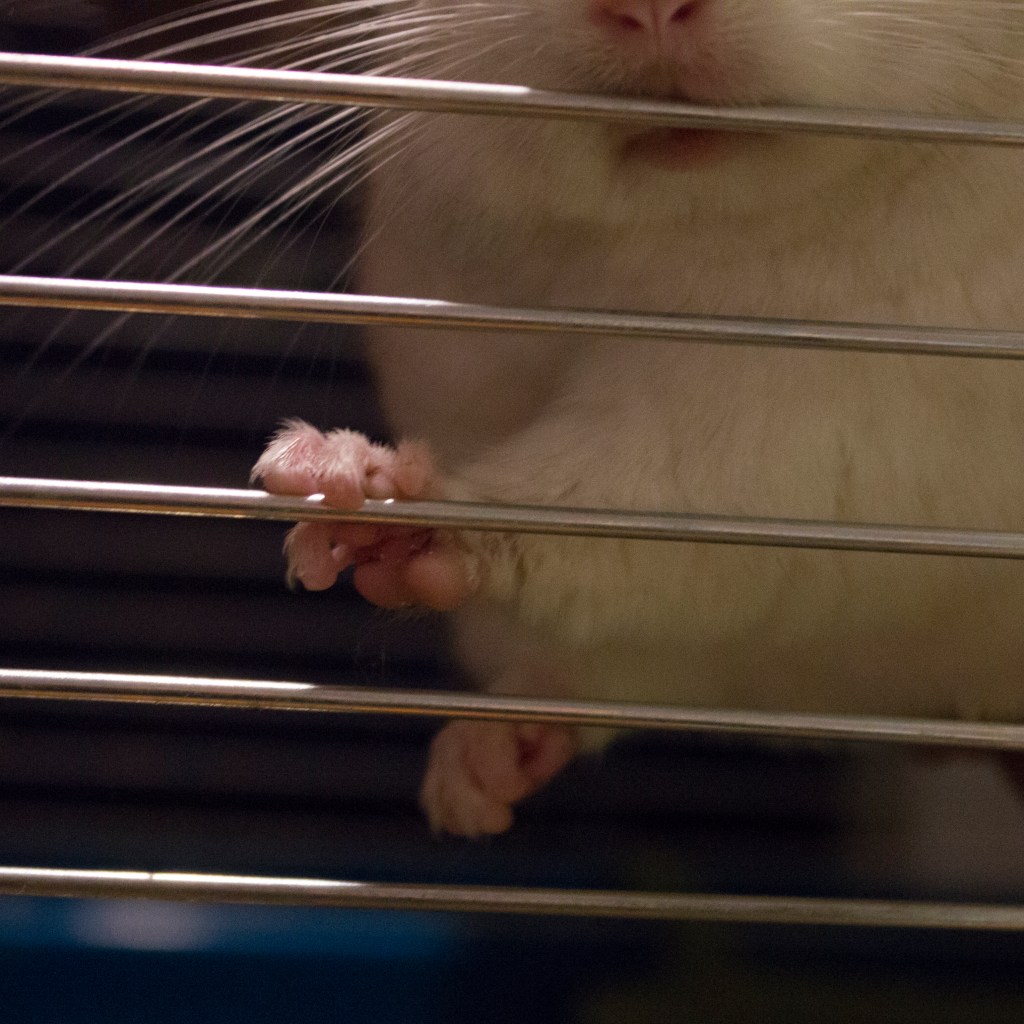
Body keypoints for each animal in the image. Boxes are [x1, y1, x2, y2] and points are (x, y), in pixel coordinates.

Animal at [252, 0, 1024, 835]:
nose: (646, 10)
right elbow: (579, 661)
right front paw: (467, 789)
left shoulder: (804, 427)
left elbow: (592, 505)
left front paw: (366, 499)